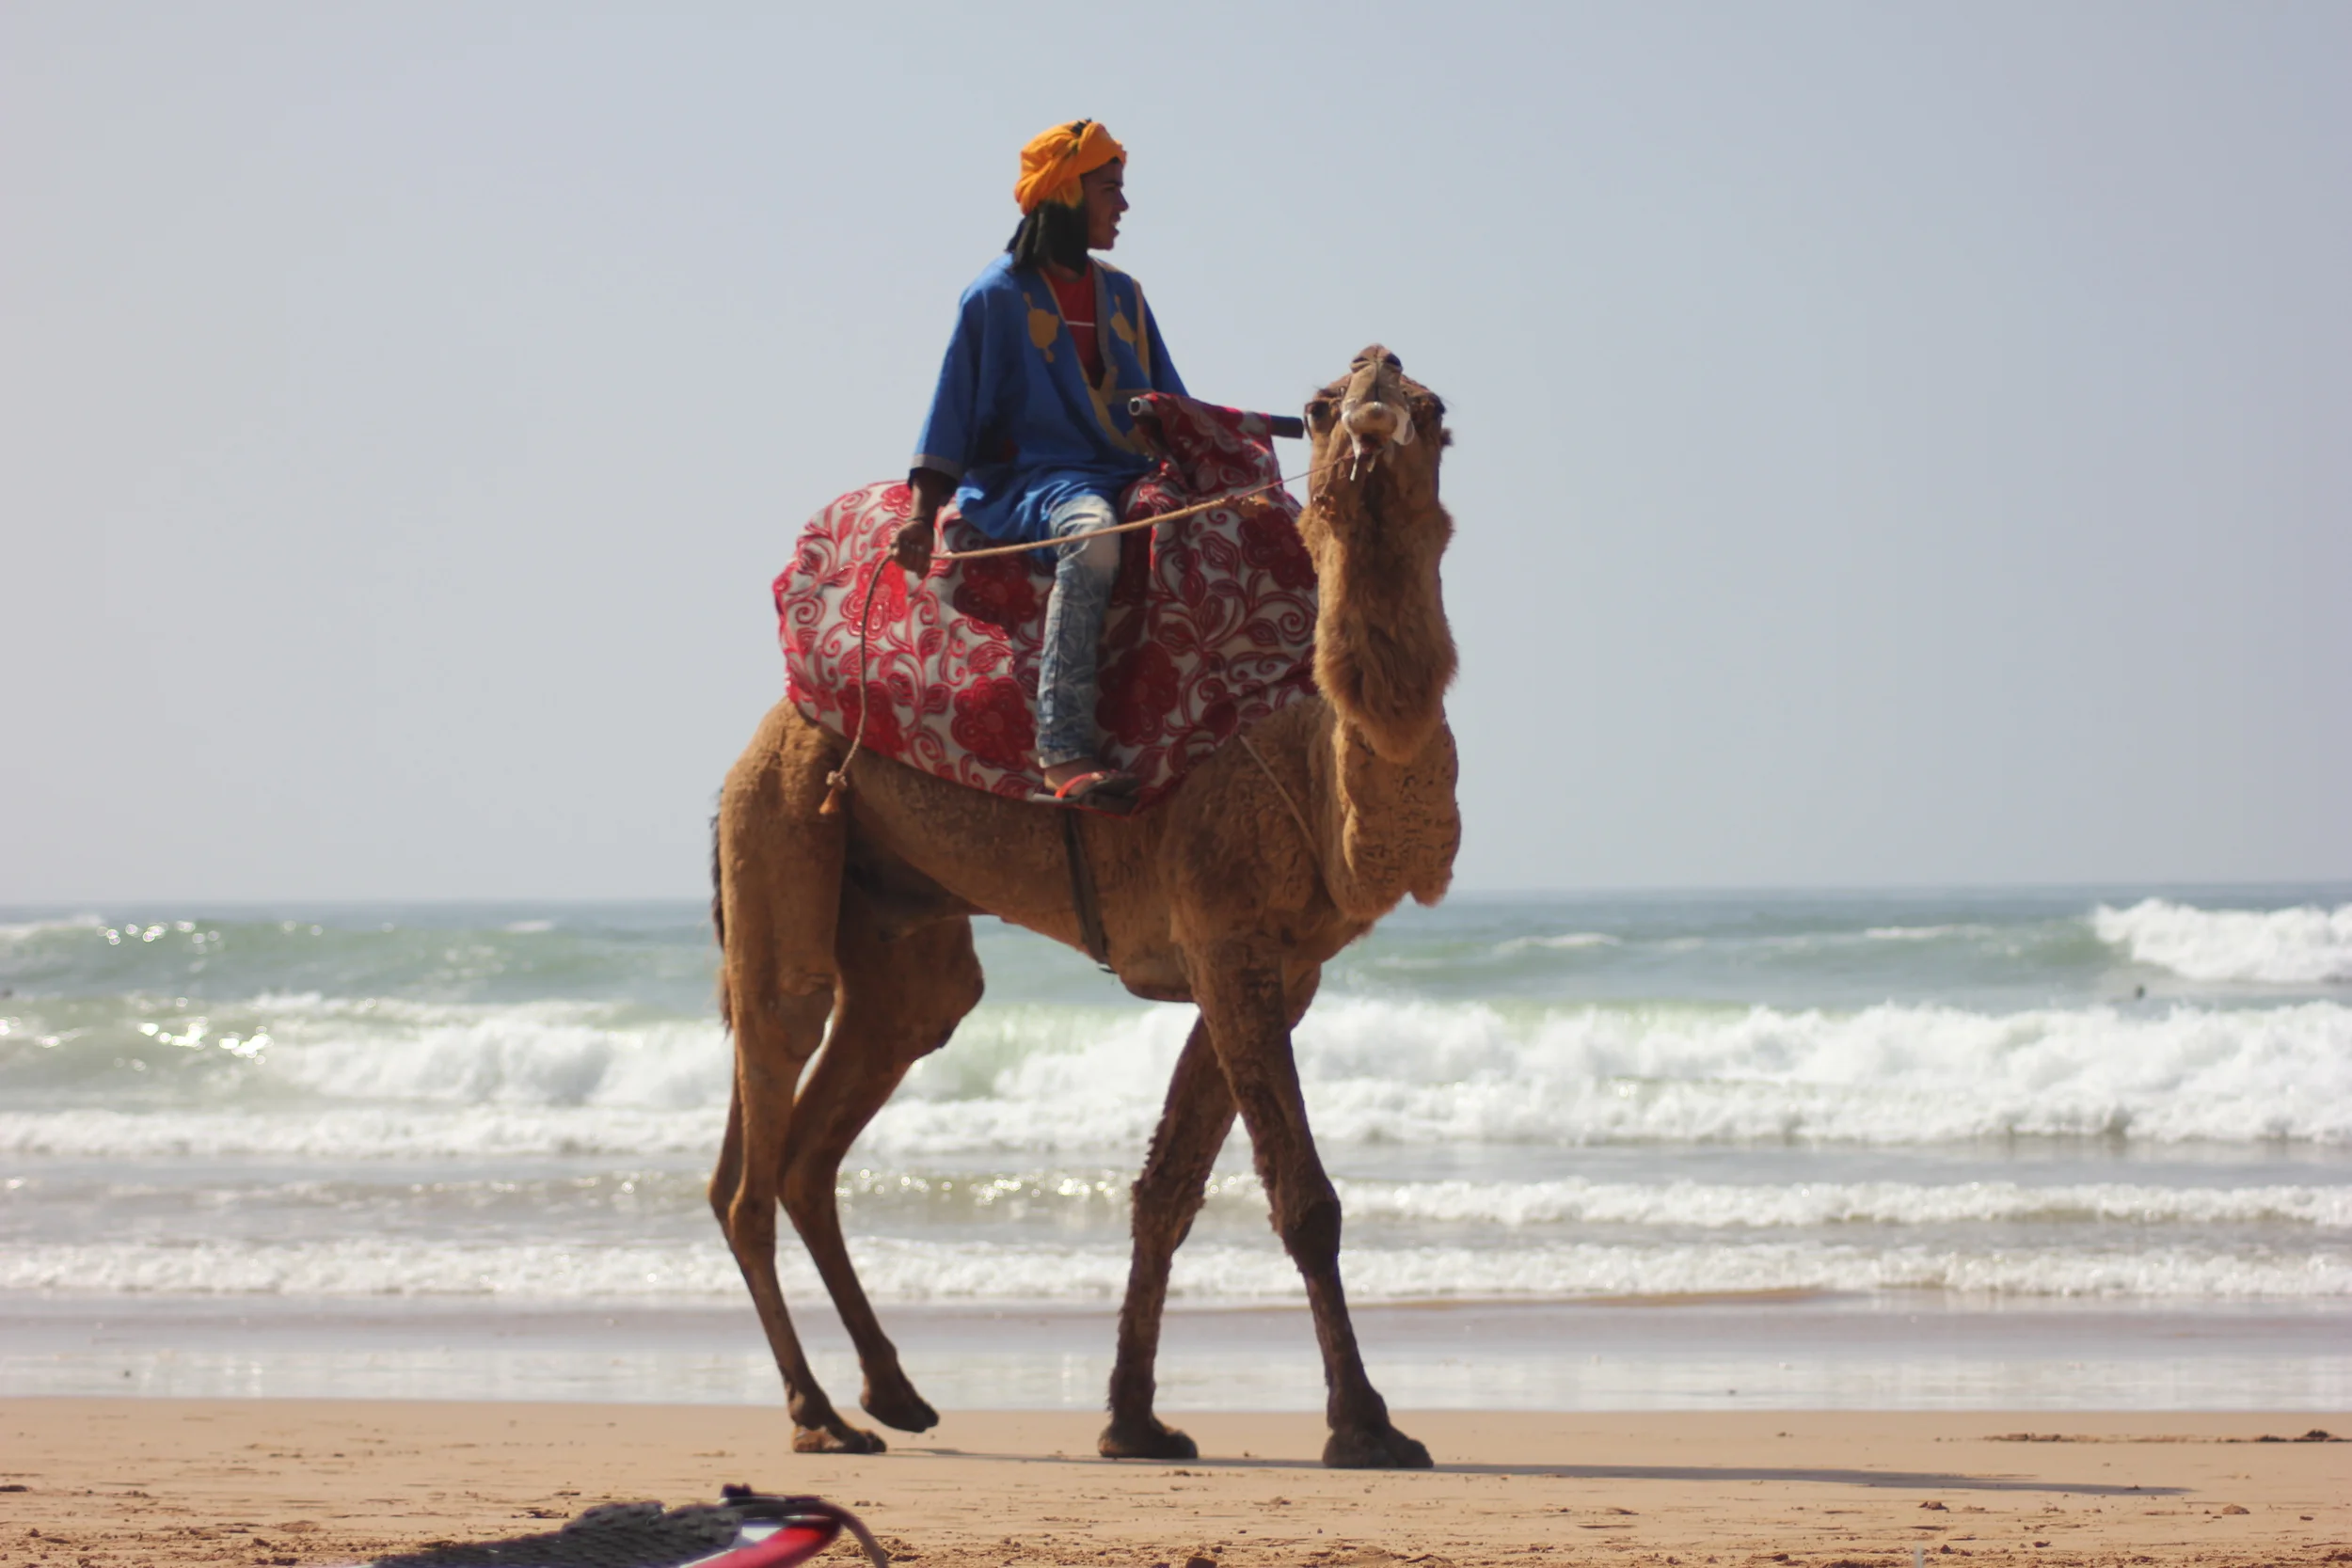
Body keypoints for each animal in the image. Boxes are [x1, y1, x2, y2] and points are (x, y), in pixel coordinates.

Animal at [709, 345, 1458, 1470]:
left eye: (1436, 412)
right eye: (1321, 407)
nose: (1376, 387)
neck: (1307, 759)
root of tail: (763, 730)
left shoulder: (1277, 966)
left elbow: (1167, 1190)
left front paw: (1134, 1417)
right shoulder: (1226, 932)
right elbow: (1304, 1197)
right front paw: (1366, 1424)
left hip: (895, 930)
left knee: (827, 1122)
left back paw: (895, 1392)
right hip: (780, 825)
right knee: (762, 1120)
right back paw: (819, 1414)